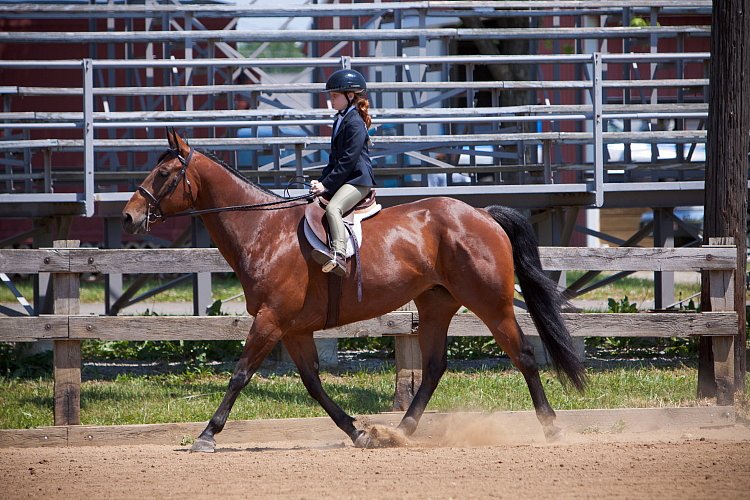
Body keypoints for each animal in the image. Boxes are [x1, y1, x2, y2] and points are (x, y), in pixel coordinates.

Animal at [122, 131, 588, 452]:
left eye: (163, 174)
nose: (128, 217)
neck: (262, 230)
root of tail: (482, 213)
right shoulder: (292, 328)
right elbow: (313, 384)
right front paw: (358, 432)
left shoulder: (271, 320)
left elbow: (240, 375)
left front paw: (207, 435)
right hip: (435, 305)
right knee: (434, 367)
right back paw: (400, 431)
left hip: (491, 303)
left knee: (523, 356)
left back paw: (552, 427)